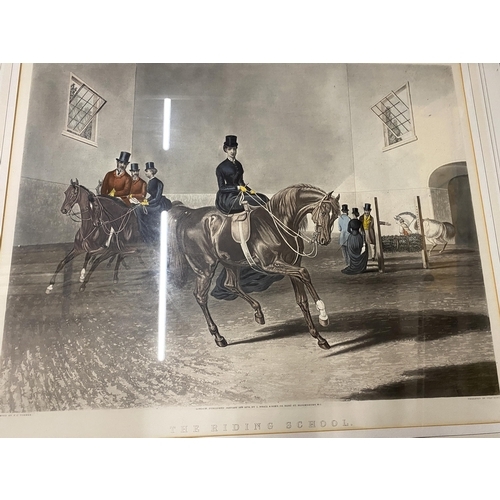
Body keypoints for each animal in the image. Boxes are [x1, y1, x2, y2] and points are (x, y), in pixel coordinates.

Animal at [168, 183, 340, 348]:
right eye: (324, 212)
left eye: (336, 216)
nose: (324, 240)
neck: (277, 224)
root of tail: (189, 214)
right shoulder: (271, 265)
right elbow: (304, 273)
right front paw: (323, 314)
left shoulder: (293, 264)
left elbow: (302, 300)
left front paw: (319, 338)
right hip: (205, 269)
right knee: (201, 296)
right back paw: (218, 337)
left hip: (229, 262)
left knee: (230, 284)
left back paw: (258, 312)